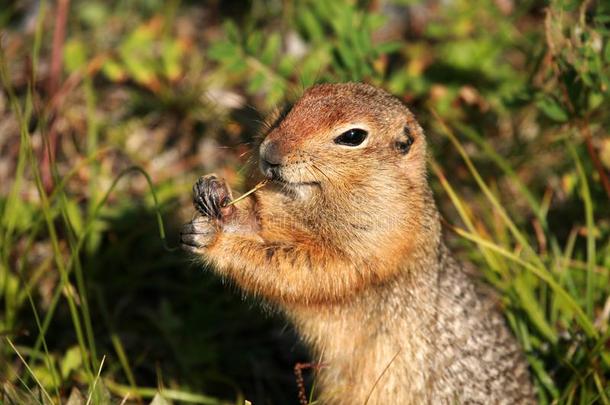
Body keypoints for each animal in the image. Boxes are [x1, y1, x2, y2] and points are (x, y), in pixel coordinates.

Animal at [179, 83, 532, 404]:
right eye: (292, 105)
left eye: (352, 137)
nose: (271, 152)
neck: (311, 200)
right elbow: (264, 224)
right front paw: (216, 197)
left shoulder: (369, 253)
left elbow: (300, 271)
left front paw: (216, 239)